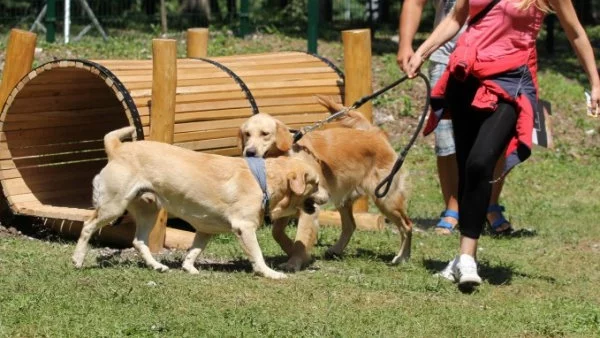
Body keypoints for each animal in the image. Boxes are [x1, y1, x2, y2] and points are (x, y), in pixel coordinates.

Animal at [74, 125, 332, 278]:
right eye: (316, 183)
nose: (329, 197)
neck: (264, 179)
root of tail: (117, 148)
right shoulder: (245, 227)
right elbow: (257, 254)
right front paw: (269, 273)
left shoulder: (206, 229)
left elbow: (194, 250)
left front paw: (188, 267)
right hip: (113, 206)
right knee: (87, 226)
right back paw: (77, 259)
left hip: (149, 209)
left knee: (138, 242)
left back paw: (156, 266)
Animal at [239, 96, 412, 270]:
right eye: (247, 134)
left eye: (265, 134)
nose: (250, 152)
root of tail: (376, 133)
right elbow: (277, 233)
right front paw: (291, 250)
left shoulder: (310, 208)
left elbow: (301, 238)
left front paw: (294, 261)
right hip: (344, 198)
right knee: (350, 225)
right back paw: (336, 249)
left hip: (386, 198)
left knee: (407, 226)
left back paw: (403, 257)